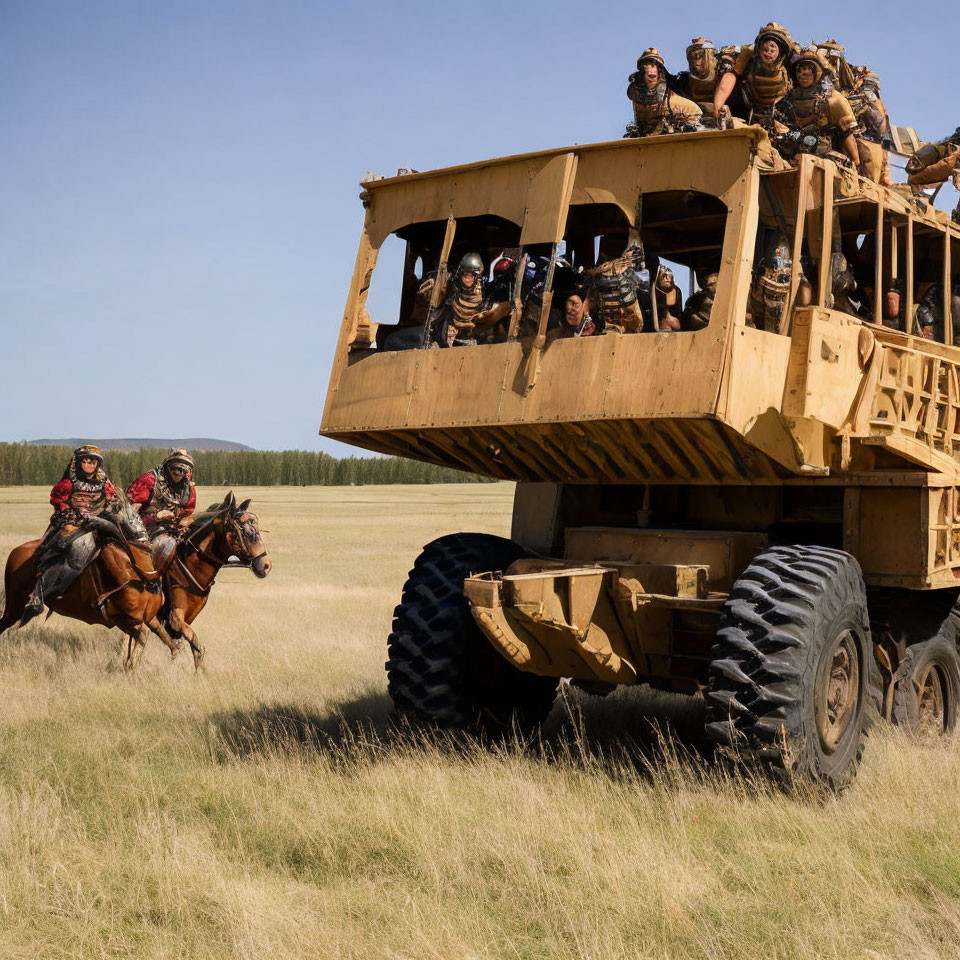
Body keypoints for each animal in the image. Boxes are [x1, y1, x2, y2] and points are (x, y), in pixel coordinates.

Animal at [0, 506, 181, 672]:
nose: (43, 551)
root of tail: (15, 552)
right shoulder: (120, 619)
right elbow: (142, 637)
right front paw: (129, 668)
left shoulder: (148, 618)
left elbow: (164, 638)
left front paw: (175, 656)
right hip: (14, 606)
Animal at [158, 492, 270, 672]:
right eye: (247, 533)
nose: (266, 565)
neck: (190, 564)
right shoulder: (175, 617)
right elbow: (194, 643)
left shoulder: (188, 618)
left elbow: (194, 648)